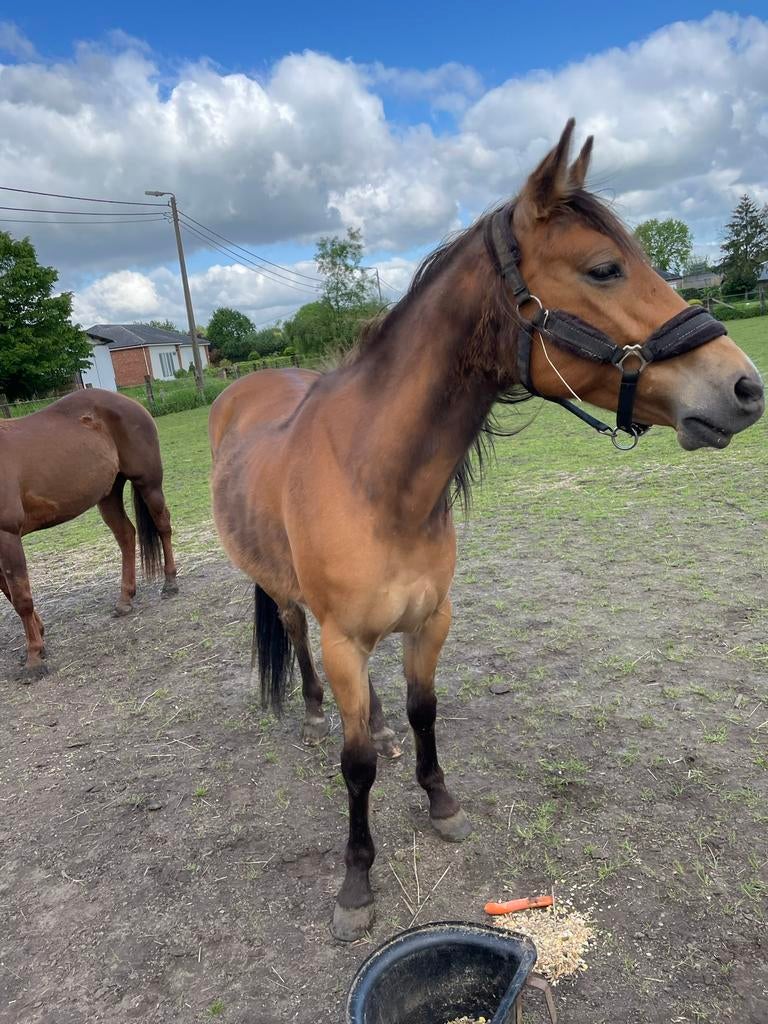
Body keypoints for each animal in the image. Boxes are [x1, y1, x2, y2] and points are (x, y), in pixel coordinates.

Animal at [0, 389, 178, 675]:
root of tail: (132, 403)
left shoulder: (7, 535)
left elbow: (20, 597)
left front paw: (34, 658)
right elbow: (10, 593)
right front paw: (40, 636)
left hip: (149, 483)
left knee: (163, 526)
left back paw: (170, 583)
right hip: (108, 494)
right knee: (126, 535)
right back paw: (125, 599)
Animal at [209, 120, 764, 942]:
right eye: (604, 269)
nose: (745, 388)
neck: (374, 479)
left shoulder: (431, 619)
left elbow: (423, 711)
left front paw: (439, 800)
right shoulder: (345, 639)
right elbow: (354, 767)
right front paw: (355, 883)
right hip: (283, 595)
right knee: (293, 632)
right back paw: (311, 710)